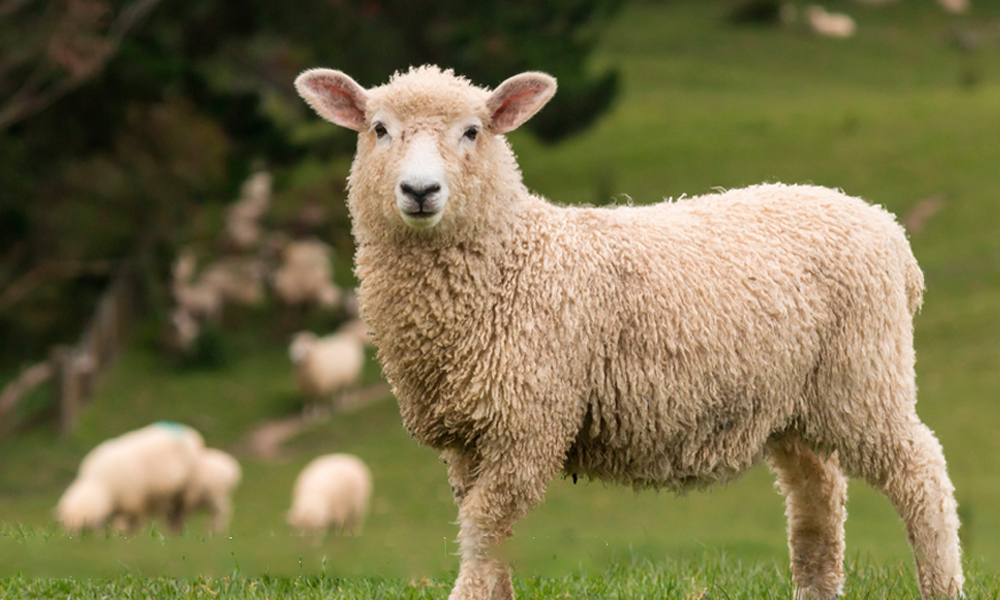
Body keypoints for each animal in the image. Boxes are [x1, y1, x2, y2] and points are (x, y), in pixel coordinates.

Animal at [57, 420, 205, 532]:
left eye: (84, 531)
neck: (100, 483)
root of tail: (189, 431)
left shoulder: (135, 501)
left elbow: (135, 522)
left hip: (187, 490)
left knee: (180, 513)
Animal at [292, 65, 964, 600]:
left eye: (472, 131)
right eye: (379, 129)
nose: (420, 191)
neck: (513, 259)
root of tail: (887, 230)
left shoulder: (527, 425)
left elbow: (482, 534)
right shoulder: (470, 437)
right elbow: (489, 535)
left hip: (865, 375)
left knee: (922, 473)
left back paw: (942, 585)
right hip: (796, 402)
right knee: (818, 498)